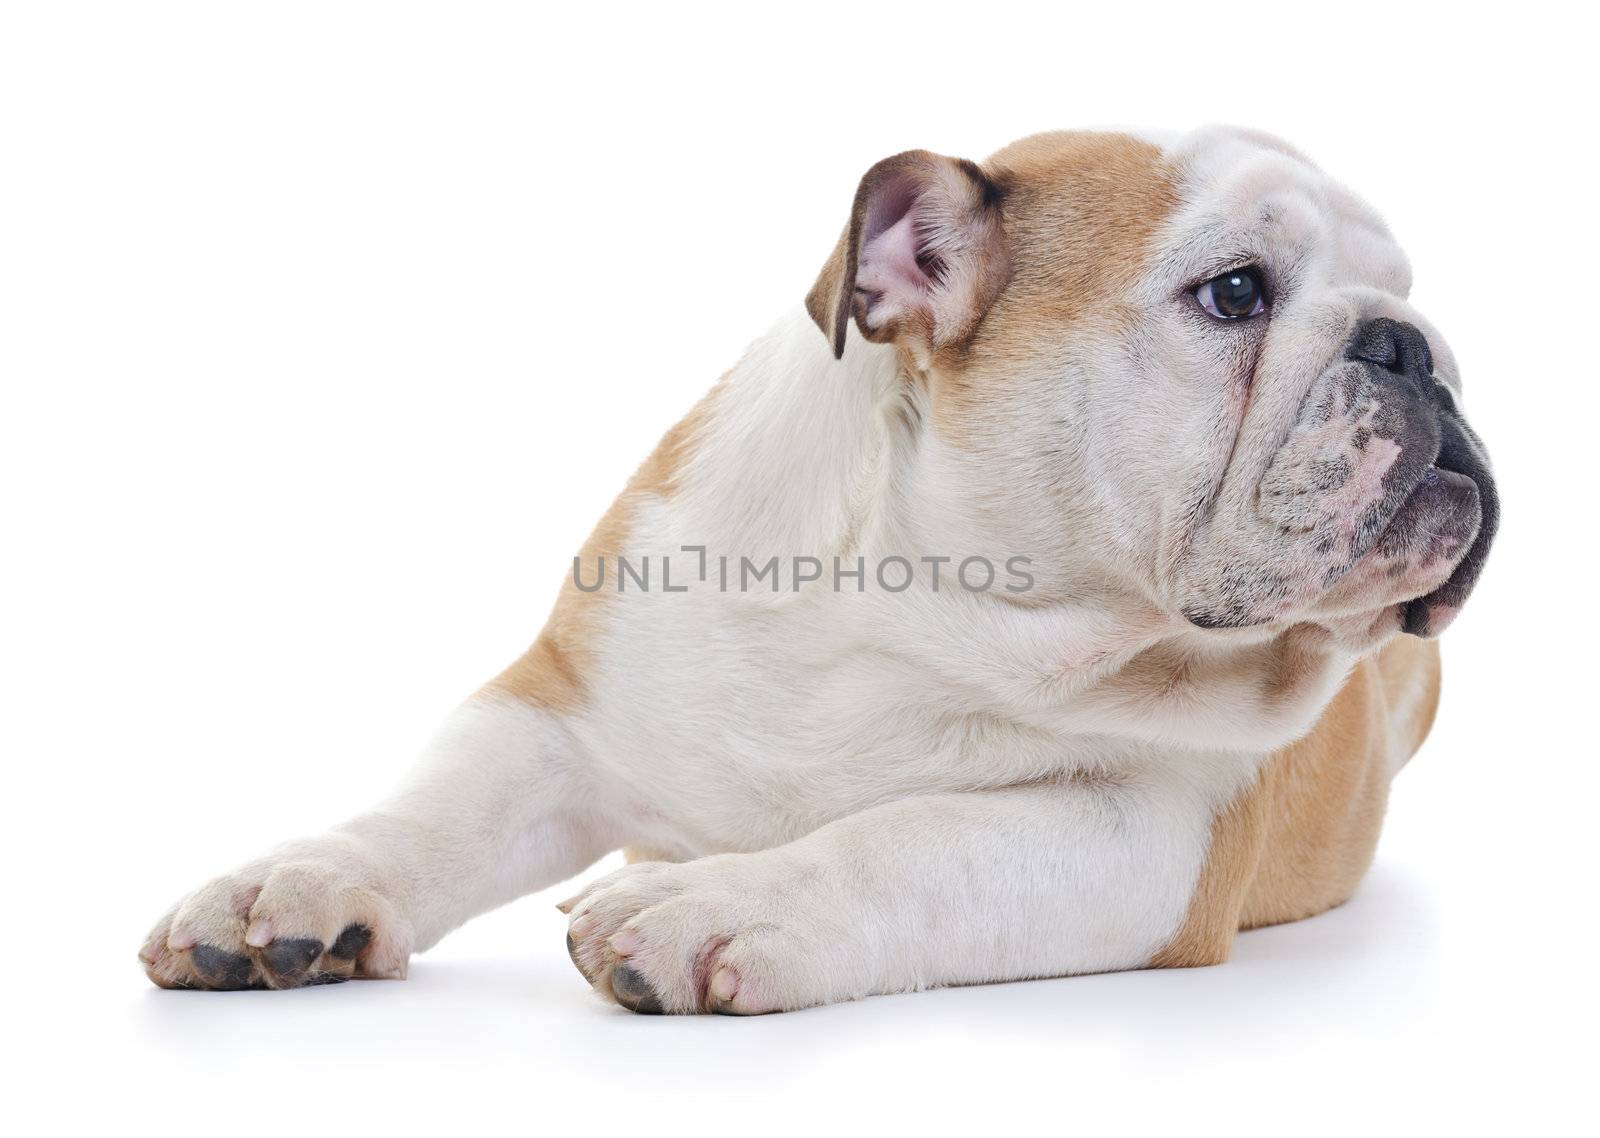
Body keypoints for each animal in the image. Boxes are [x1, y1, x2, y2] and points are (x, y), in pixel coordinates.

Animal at [140, 127, 1497, 1017]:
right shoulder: (561, 709)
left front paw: (722, 902)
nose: (1414, 346)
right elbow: (438, 808)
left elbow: (912, 839)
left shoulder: (1154, 834)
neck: (937, 609)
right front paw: (299, 879)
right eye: (1233, 293)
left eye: (1407, 297)